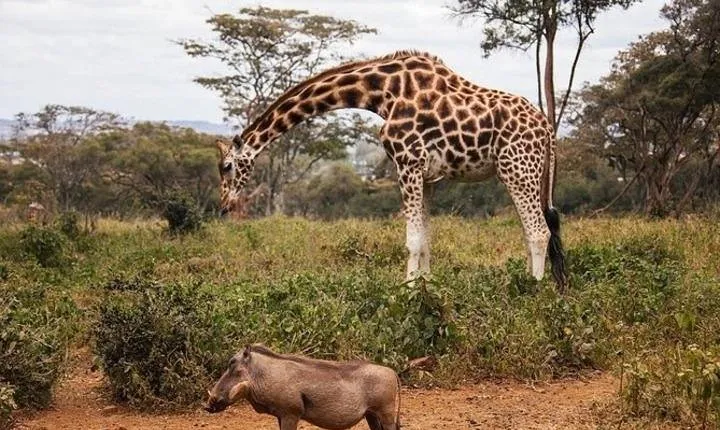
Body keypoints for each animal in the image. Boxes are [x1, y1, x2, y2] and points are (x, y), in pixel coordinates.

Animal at [215, 50, 568, 291]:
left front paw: (407, 290)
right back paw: (526, 281)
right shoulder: (428, 175)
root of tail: (548, 131)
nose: (223, 206)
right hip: (526, 172)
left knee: (539, 231)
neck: (379, 93)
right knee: (533, 230)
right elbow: (425, 238)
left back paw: (533, 291)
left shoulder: (407, 162)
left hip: (517, 169)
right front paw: (426, 286)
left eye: (227, 166)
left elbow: (411, 240)